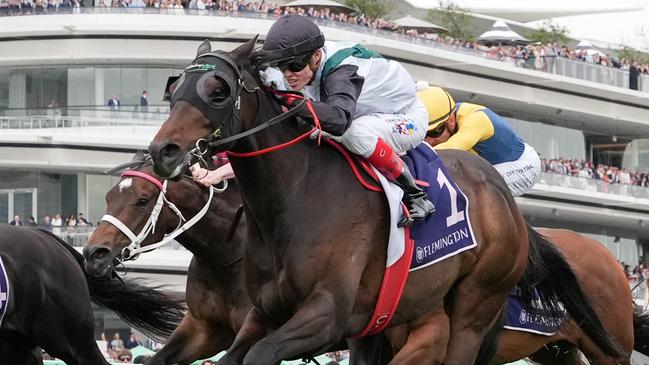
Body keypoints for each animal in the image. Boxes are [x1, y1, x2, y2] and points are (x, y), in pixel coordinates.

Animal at [146, 38, 616, 362]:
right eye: (175, 86)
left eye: (218, 90)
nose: (163, 151)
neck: (295, 197)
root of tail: (505, 198)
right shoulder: (262, 314)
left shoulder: (325, 314)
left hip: (474, 308)